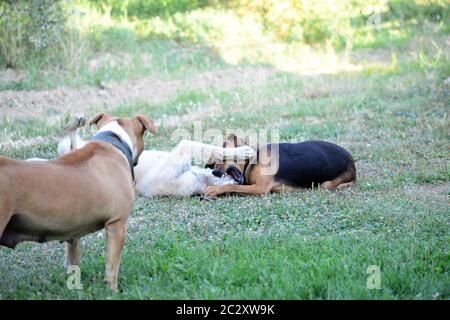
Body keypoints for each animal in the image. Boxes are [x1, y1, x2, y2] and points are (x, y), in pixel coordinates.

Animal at [0, 113, 156, 292]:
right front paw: (113, 291)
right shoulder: (117, 226)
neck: (112, 141)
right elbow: (112, 267)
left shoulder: (72, 234)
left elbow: (72, 263)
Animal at [204, 134, 356, 196]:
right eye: (213, 163)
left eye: (224, 157)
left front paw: (214, 189)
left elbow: (231, 185)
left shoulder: (260, 188)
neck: (255, 160)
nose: (214, 172)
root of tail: (351, 160)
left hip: (326, 184)